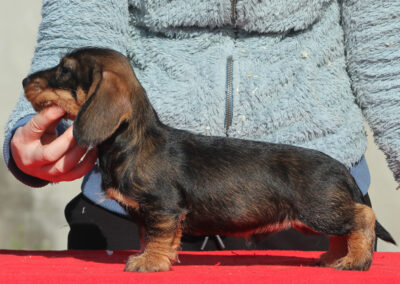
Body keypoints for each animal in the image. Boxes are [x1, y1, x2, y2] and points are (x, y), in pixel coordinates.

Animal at [23, 47, 396, 272]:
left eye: (65, 70)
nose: (25, 80)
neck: (133, 141)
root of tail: (340, 168)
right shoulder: (160, 214)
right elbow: (160, 237)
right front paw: (159, 258)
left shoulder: (162, 207)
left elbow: (157, 236)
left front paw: (149, 262)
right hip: (316, 217)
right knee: (343, 230)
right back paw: (335, 256)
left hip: (320, 210)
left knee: (363, 217)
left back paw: (355, 260)